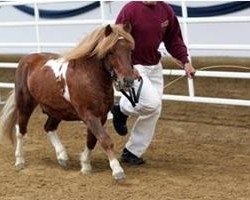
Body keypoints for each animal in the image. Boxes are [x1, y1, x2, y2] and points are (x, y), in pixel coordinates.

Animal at [0, 23, 135, 180]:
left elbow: (92, 140)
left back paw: (62, 157)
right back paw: (20, 161)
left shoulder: (100, 116)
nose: (128, 80)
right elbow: (105, 139)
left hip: (57, 111)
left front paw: (85, 166)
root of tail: (26, 59)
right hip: (25, 105)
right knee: (20, 130)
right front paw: (117, 170)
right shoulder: (89, 115)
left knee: (48, 127)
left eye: (130, 50)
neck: (89, 76)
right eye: (111, 51)